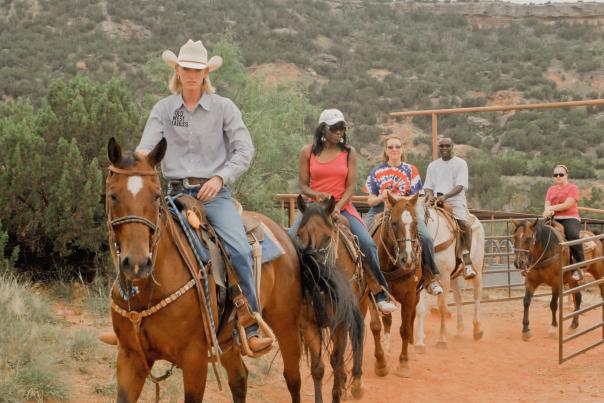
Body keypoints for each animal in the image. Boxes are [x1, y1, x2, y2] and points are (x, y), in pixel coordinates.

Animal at [105, 137, 350, 402]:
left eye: (156, 196)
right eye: (112, 196)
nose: (137, 263)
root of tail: (287, 237)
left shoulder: (194, 359)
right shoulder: (130, 357)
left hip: (285, 324)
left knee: (293, 378)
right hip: (229, 340)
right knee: (239, 379)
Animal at [294, 195, 378, 400]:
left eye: (327, 236)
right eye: (299, 234)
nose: (311, 268)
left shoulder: (340, 322)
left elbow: (336, 359)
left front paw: (338, 392)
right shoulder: (309, 324)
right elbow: (318, 368)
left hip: (360, 306)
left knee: (356, 336)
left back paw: (356, 384)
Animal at [372, 194, 420, 380]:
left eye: (416, 223)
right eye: (393, 223)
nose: (408, 259)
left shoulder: (410, 295)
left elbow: (405, 329)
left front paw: (404, 363)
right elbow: (379, 324)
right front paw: (382, 360)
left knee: (413, 316)